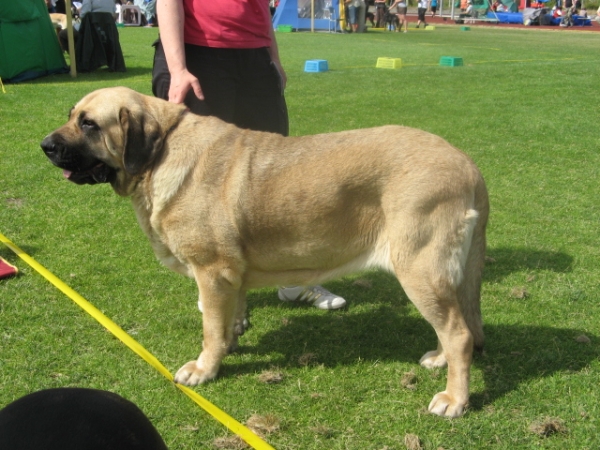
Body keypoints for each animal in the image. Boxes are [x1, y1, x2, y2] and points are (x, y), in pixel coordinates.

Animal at [41, 88, 488, 418]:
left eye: (88, 124)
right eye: (72, 114)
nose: (45, 145)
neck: (160, 153)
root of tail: (469, 166)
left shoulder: (212, 272)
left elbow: (210, 327)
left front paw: (204, 368)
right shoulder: (230, 274)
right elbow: (229, 318)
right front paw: (230, 342)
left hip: (419, 269)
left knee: (459, 333)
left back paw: (454, 400)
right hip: (451, 276)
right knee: (462, 324)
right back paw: (439, 359)